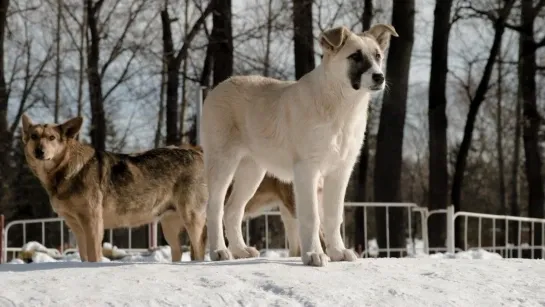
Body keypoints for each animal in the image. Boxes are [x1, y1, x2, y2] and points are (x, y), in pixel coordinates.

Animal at [21, 114, 208, 264]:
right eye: (34, 136)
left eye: (51, 138)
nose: (39, 151)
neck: (64, 172)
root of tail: (198, 153)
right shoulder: (76, 227)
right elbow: (84, 256)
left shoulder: (92, 222)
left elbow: (93, 255)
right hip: (169, 228)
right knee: (179, 252)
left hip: (191, 220)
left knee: (198, 251)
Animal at [199, 23, 396, 268]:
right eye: (355, 57)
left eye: (378, 56)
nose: (379, 77)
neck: (340, 106)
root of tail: (219, 86)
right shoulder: (307, 170)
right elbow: (312, 215)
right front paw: (313, 254)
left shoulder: (340, 171)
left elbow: (333, 216)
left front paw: (338, 252)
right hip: (222, 163)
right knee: (215, 208)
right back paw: (219, 251)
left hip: (252, 170)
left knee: (232, 210)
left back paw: (240, 250)